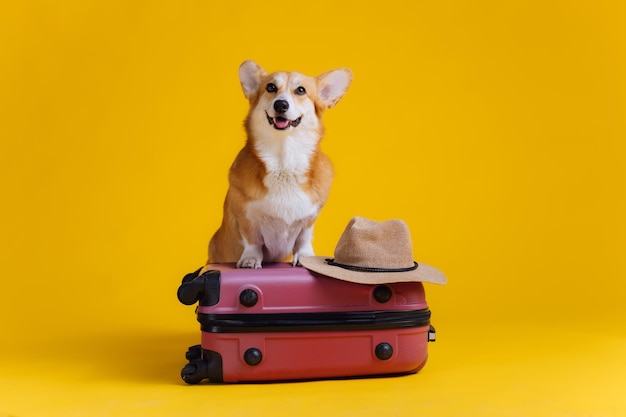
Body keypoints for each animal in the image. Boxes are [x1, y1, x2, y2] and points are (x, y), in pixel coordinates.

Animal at [206, 60, 348, 268]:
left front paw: (305, 256)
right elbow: (252, 240)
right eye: (271, 87)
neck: (284, 161)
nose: (281, 104)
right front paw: (250, 259)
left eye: (301, 90)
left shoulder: (310, 217)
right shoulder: (245, 215)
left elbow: (304, 238)